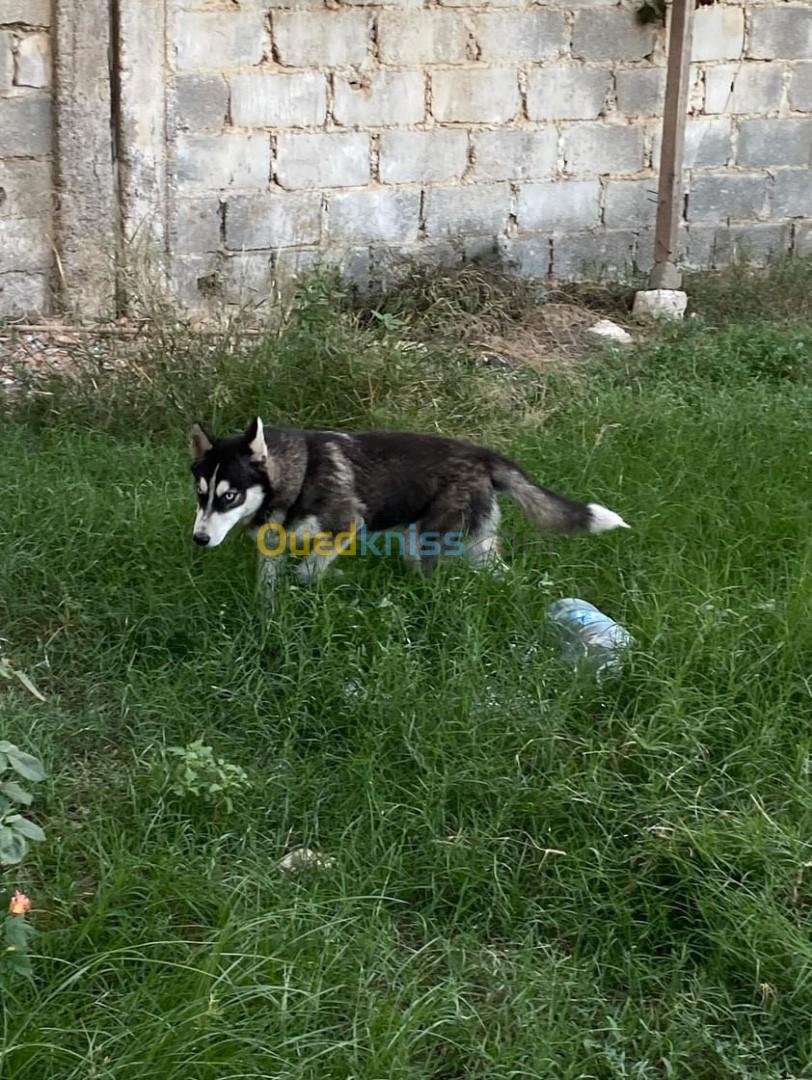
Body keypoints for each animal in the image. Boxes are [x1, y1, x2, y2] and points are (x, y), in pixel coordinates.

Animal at [188, 419, 626, 591]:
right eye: (200, 492)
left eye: (229, 496)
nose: (199, 539)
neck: (299, 474)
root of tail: (483, 455)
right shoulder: (271, 547)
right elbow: (269, 585)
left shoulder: (347, 524)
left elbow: (308, 570)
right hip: (476, 546)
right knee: (502, 573)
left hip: (426, 540)